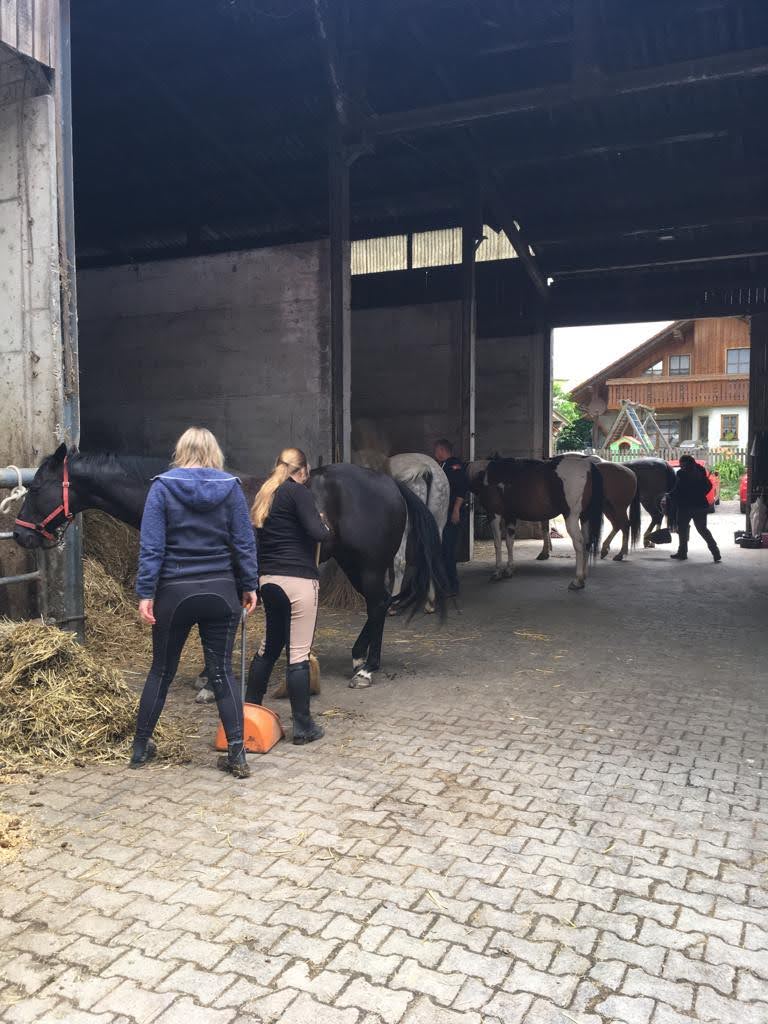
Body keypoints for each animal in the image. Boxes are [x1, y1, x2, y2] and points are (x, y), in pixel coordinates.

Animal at [389, 453, 449, 614]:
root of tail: (424, 469)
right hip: (438, 520)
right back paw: (430, 602)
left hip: (403, 527)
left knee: (400, 561)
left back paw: (393, 604)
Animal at [467, 454, 604, 590]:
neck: (487, 473)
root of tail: (588, 466)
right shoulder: (510, 516)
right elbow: (509, 543)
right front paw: (509, 569)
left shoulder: (494, 514)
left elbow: (497, 543)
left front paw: (497, 572)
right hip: (585, 517)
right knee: (587, 542)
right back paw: (583, 576)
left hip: (571, 517)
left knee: (579, 542)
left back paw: (577, 580)